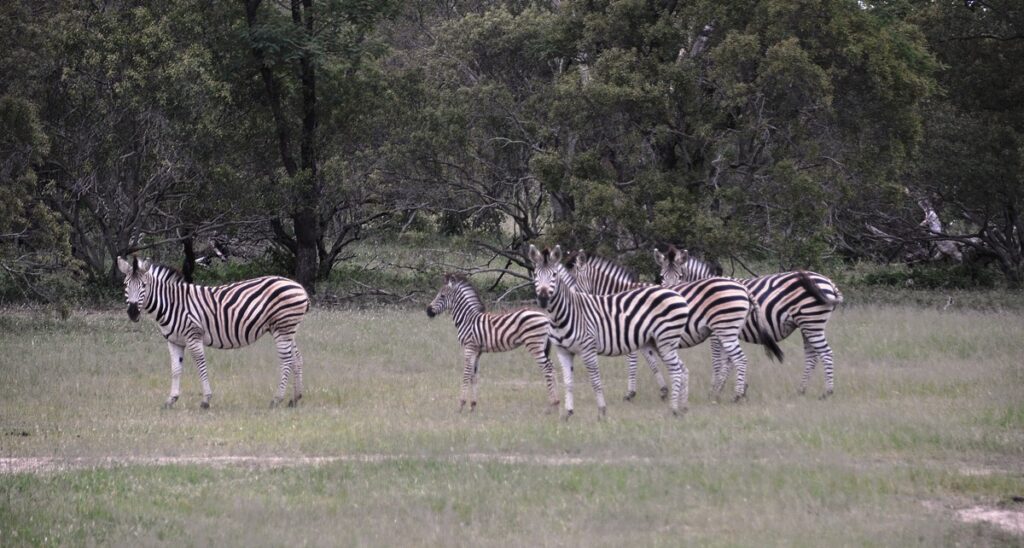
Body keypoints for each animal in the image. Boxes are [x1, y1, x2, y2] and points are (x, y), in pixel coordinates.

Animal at [115, 256, 307, 407]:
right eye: (125, 285)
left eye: (144, 285)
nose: (132, 312)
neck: (172, 304)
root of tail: (298, 286)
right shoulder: (174, 341)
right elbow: (175, 369)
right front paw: (171, 399)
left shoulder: (193, 336)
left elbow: (201, 366)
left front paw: (206, 400)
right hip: (286, 330)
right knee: (296, 359)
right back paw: (295, 399)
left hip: (282, 328)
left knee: (286, 361)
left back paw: (277, 399)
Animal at [425, 274, 561, 411]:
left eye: (442, 296)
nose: (428, 311)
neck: (467, 320)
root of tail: (545, 316)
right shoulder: (477, 351)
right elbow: (474, 376)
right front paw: (473, 406)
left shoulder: (469, 347)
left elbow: (466, 374)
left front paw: (461, 404)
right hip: (542, 345)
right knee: (551, 366)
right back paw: (557, 403)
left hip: (534, 343)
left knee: (547, 368)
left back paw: (553, 403)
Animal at [528, 245, 688, 419]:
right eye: (535, 275)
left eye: (554, 275)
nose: (543, 299)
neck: (563, 315)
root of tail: (675, 293)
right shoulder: (563, 352)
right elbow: (568, 383)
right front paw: (568, 414)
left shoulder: (591, 348)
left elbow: (596, 380)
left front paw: (602, 411)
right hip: (659, 342)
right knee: (682, 368)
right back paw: (682, 406)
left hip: (666, 340)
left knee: (676, 371)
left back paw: (674, 409)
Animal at [565, 250, 778, 401]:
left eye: (572, 279)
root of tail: (742, 288)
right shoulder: (642, 336)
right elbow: (651, 361)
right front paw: (663, 390)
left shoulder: (626, 330)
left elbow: (632, 361)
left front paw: (630, 393)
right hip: (726, 329)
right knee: (730, 359)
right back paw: (729, 390)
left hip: (723, 329)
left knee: (734, 359)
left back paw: (733, 393)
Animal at [659, 247, 843, 399]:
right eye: (661, 277)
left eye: (680, 277)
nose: (670, 297)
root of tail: (828, 282)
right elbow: (729, 361)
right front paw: (733, 388)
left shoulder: (716, 332)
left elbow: (719, 361)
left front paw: (715, 390)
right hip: (807, 325)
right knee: (812, 356)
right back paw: (801, 390)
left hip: (812, 322)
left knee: (826, 353)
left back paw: (827, 392)